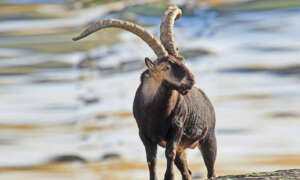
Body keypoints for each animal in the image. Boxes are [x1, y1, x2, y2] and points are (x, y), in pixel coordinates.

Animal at [74, 5, 217, 180]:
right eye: (165, 67)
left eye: (181, 59)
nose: (191, 80)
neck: (156, 113)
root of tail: (206, 99)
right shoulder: (144, 134)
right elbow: (151, 159)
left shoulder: (176, 129)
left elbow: (169, 153)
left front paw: (168, 176)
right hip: (185, 148)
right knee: (186, 171)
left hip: (209, 138)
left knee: (210, 170)